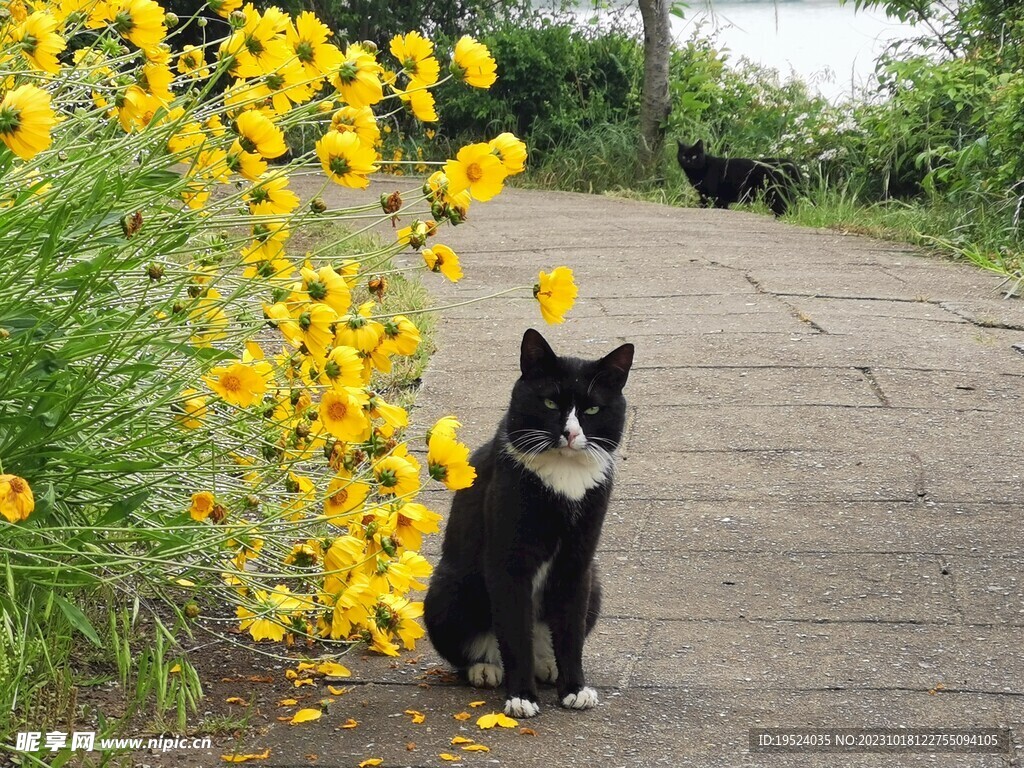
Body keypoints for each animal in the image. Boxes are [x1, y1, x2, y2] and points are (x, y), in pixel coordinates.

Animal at [421, 331, 630, 720]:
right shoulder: (508, 560)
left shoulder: (577, 563)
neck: (564, 475)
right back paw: (485, 668)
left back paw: (547, 666)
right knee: (479, 645)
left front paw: (574, 689)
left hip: (595, 583)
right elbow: (515, 632)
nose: (570, 433)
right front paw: (521, 697)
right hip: (446, 588)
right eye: (549, 402)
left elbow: (571, 631)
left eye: (592, 409)